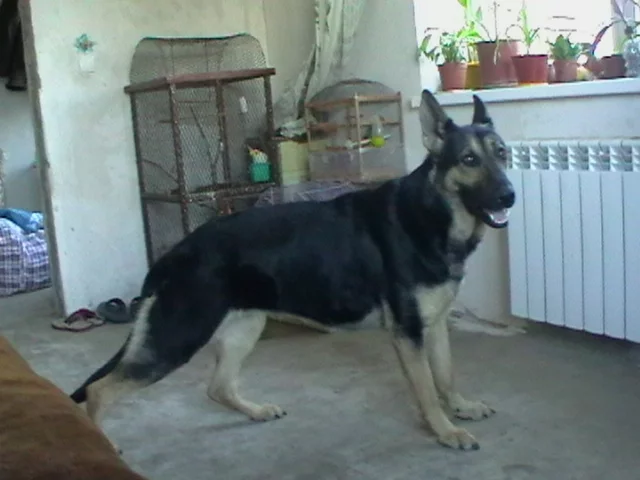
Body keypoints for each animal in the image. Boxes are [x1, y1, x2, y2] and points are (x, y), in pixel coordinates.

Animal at [70, 89, 515, 451]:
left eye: (503, 154)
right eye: (469, 160)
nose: (509, 196)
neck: (432, 212)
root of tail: (172, 254)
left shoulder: (433, 326)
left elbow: (446, 375)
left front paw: (460, 407)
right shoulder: (408, 334)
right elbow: (426, 389)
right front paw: (446, 430)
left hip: (244, 328)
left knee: (217, 387)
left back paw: (255, 410)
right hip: (175, 339)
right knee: (99, 391)